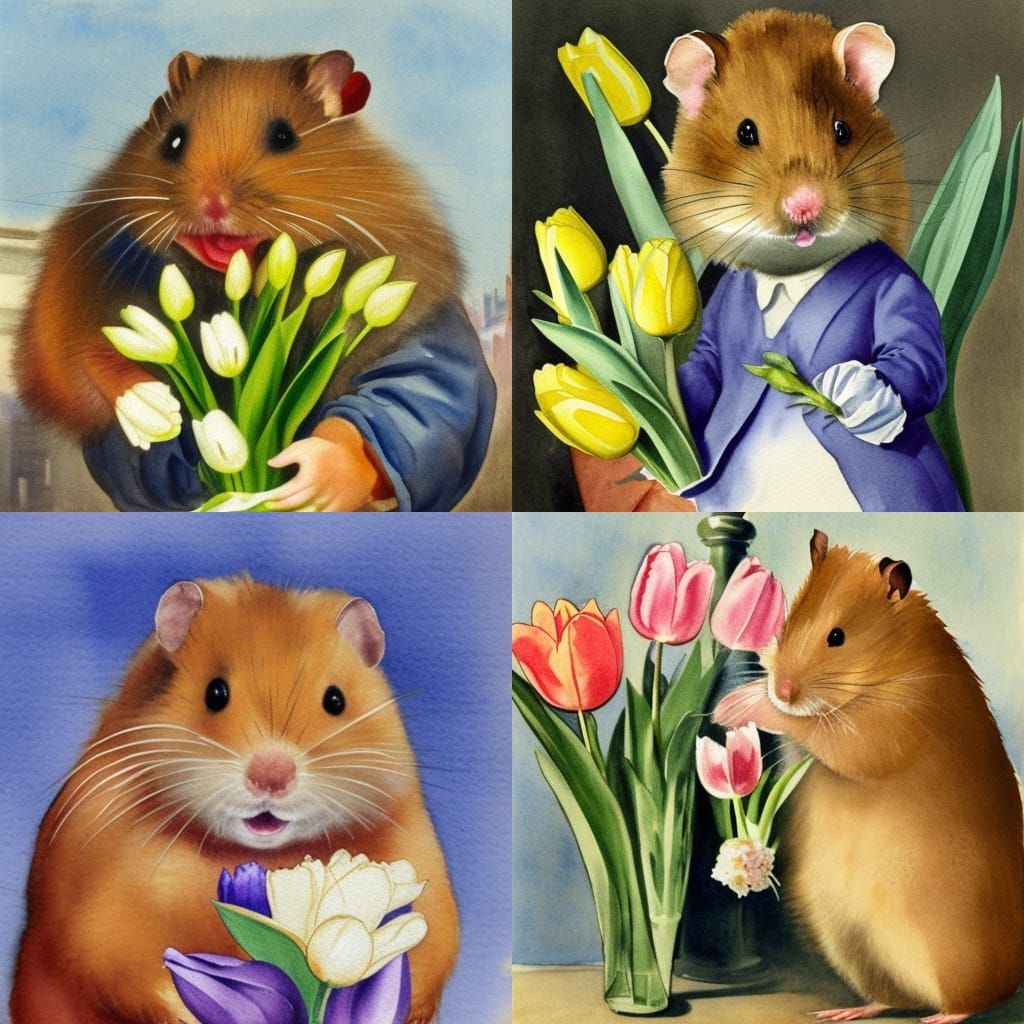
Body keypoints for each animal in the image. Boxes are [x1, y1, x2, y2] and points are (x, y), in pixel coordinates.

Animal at [10, 576, 458, 1024]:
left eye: (335, 700)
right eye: (215, 693)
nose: (272, 776)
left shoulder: (426, 885)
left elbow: (425, 959)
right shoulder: (102, 923)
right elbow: (129, 971)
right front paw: (188, 1014)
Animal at [713, 531, 1024, 1023]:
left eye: (837, 637)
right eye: (787, 623)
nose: (783, 689)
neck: (885, 666)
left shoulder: (880, 728)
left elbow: (816, 727)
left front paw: (735, 706)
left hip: (950, 952)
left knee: (975, 1000)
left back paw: (940, 1017)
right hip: (849, 943)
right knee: (893, 997)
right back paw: (843, 1012)